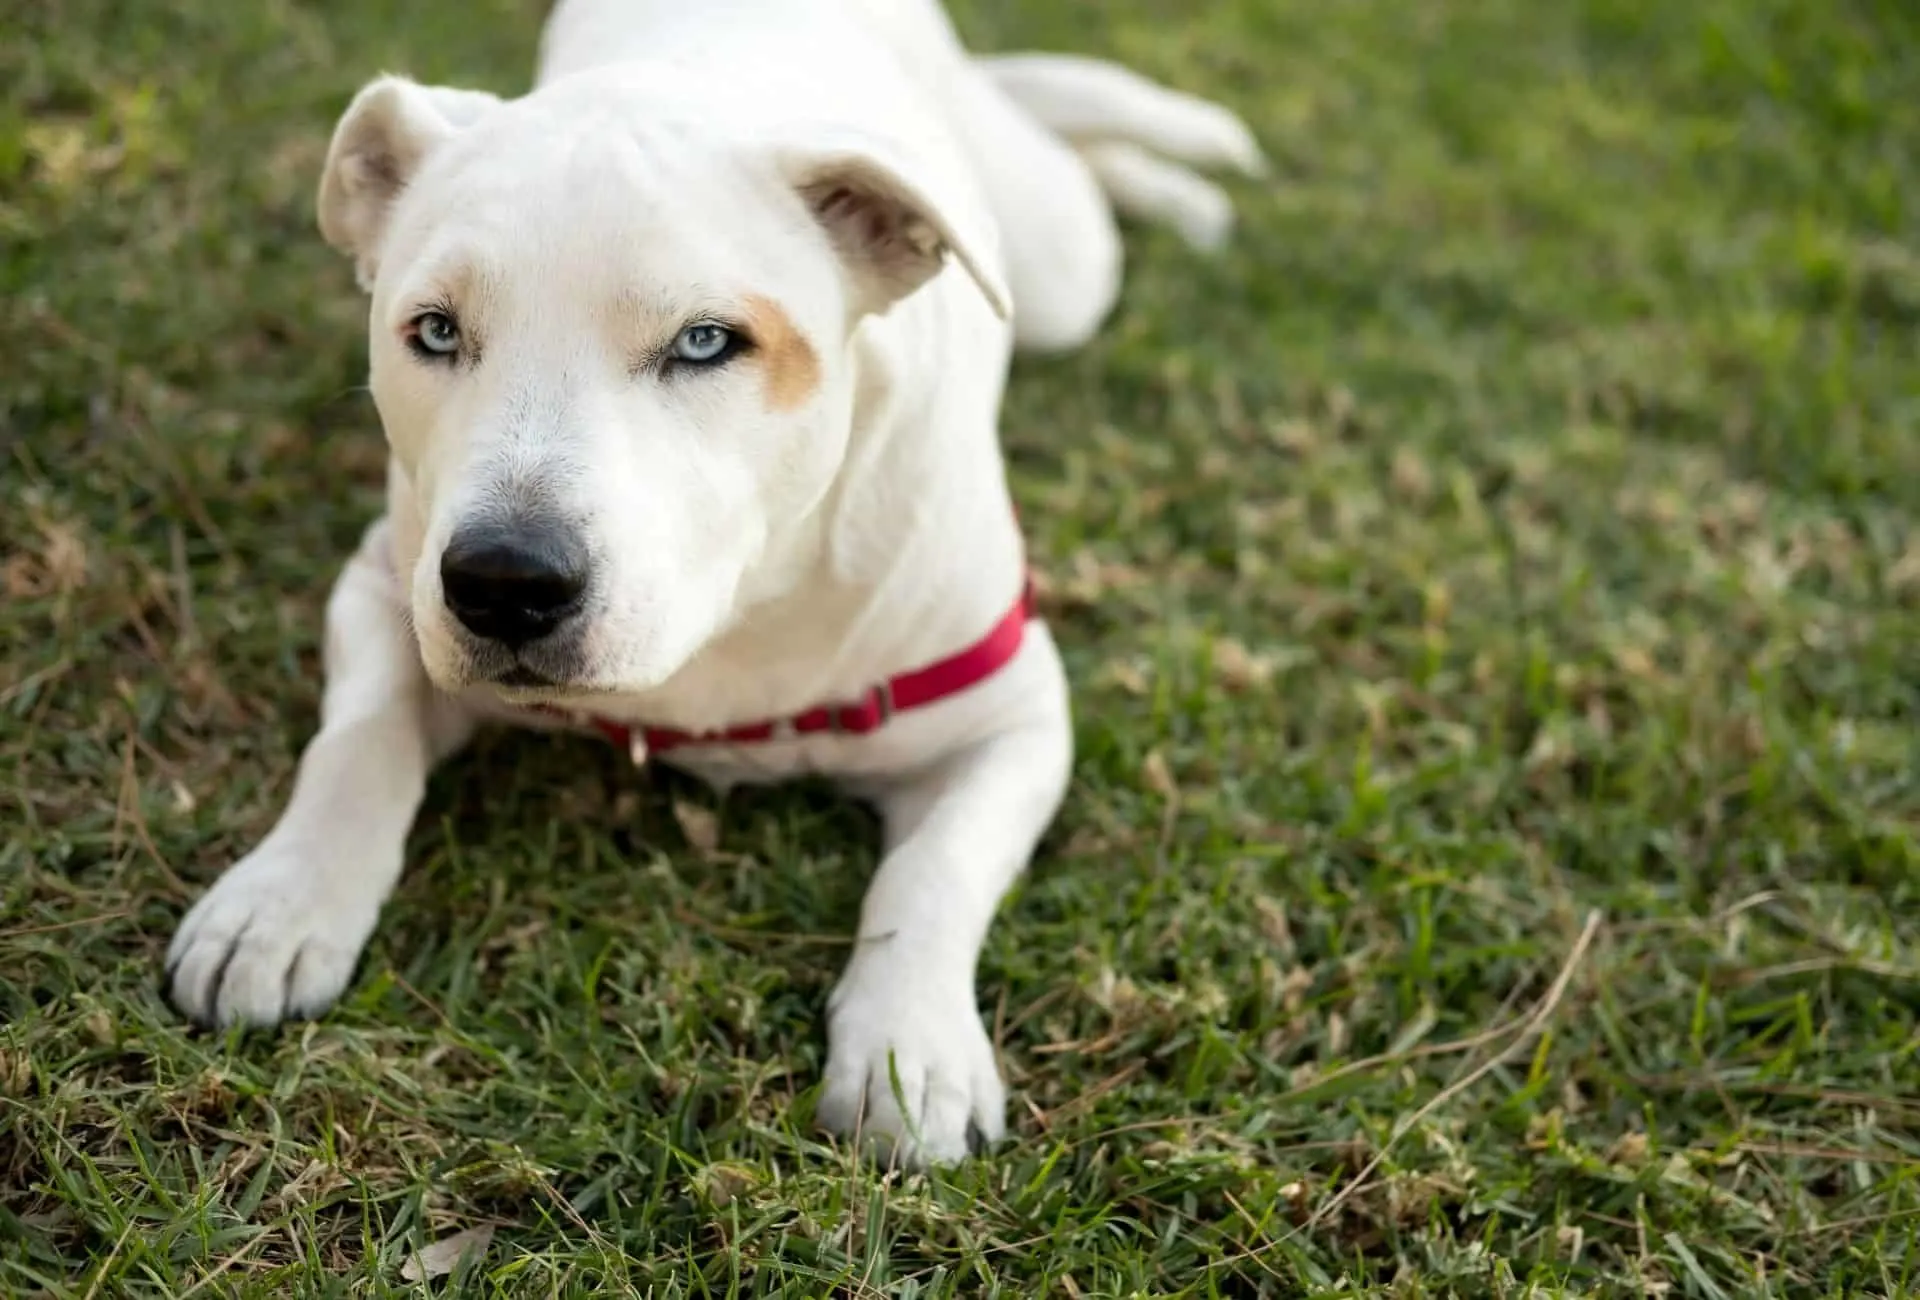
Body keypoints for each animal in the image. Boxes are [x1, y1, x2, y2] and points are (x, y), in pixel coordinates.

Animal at [168, 0, 1259, 1167]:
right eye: (435, 330)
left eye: (704, 342)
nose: (504, 582)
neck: (740, 610)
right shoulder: (388, 588)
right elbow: (356, 744)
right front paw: (281, 903)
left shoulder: (1012, 715)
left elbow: (934, 870)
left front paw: (909, 1047)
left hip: (1061, 272)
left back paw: (1180, 192)